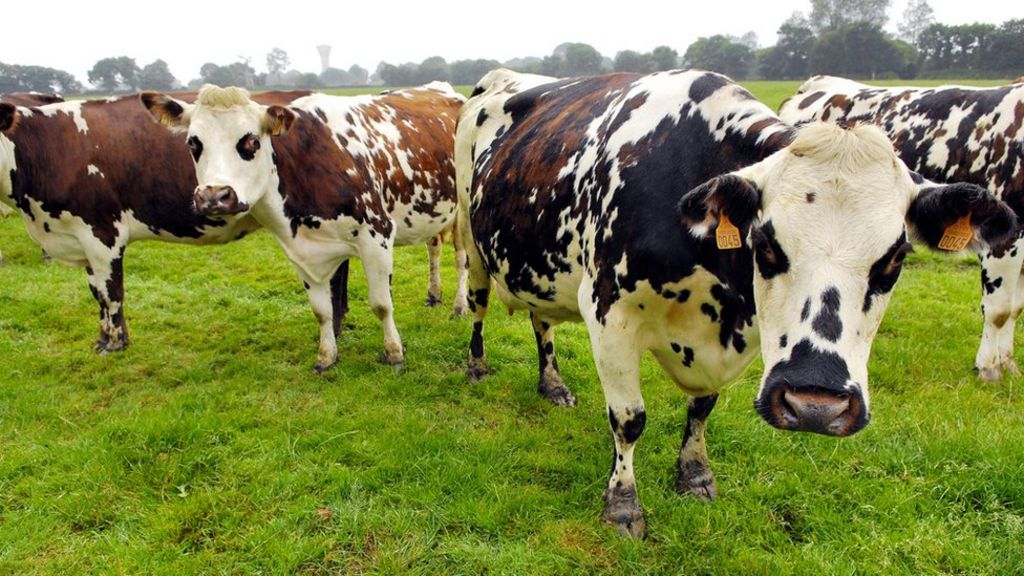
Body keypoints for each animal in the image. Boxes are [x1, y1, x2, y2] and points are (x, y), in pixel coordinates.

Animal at [0, 90, 316, 353]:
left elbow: (111, 293)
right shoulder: (81, 238)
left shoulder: (103, 235)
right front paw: (103, 339)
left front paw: (115, 345)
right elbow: (97, 294)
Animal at [142, 83, 465, 371]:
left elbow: (381, 304)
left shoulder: (377, 235)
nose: (213, 196)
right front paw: (326, 357)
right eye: (193, 143)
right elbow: (322, 311)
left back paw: (459, 306)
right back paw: (434, 294)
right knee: (434, 248)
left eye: (251, 141)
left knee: (461, 261)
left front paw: (394, 353)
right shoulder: (300, 250)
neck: (303, 163)